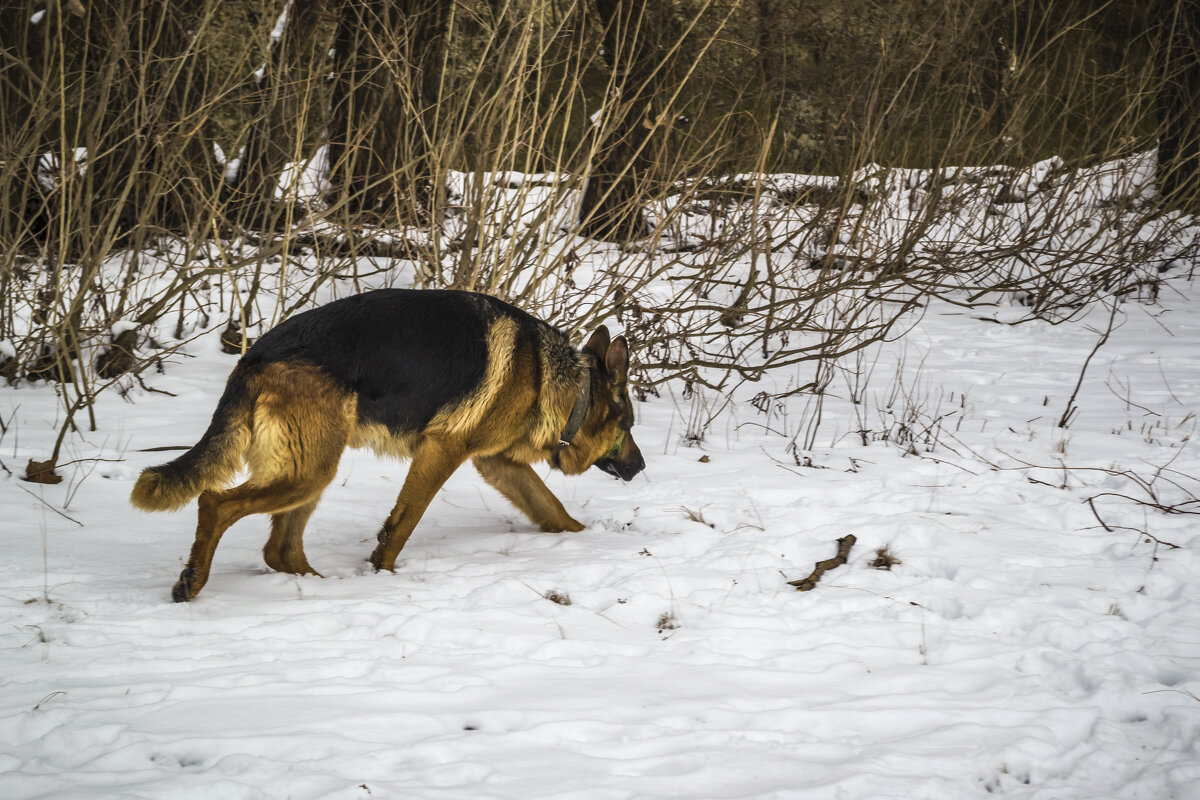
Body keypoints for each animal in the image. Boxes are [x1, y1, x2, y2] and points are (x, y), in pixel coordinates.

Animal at [129, 287, 648, 599]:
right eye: (627, 425)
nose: (642, 467)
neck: (556, 379)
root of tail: (255, 354)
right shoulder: (442, 451)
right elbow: (402, 524)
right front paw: (383, 573)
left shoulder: (499, 465)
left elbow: (553, 509)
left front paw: (588, 540)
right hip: (307, 472)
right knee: (215, 503)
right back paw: (192, 582)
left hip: (312, 469)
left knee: (280, 549)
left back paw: (322, 588)